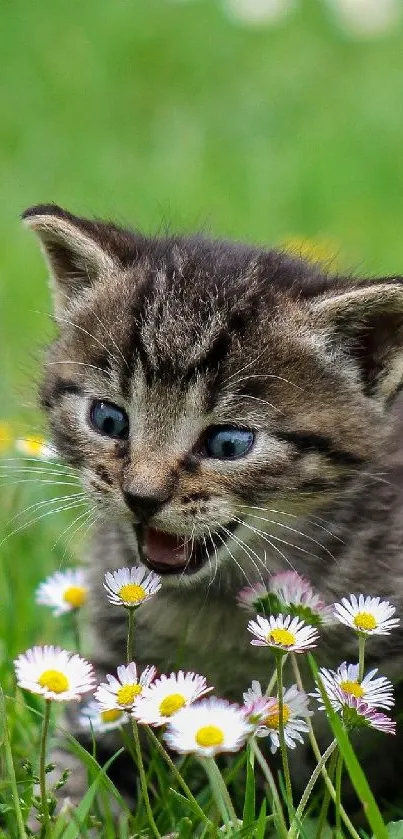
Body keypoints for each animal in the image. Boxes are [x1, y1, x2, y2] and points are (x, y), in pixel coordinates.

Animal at [22, 203, 403, 808]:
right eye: (108, 418)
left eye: (228, 443)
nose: (142, 496)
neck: (217, 600)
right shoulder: (112, 669)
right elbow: (79, 762)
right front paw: (59, 810)